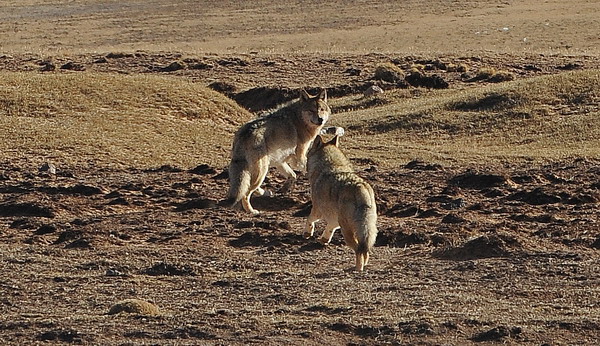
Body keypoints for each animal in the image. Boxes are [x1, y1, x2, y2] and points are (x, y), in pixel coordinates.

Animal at [304, 134, 376, 272]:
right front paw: (324, 239)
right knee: (366, 250)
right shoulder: (334, 218)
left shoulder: (317, 209)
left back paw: (358, 268)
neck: (331, 164)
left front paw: (307, 233)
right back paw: (364, 265)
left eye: (308, 152)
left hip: (347, 230)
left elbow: (309, 219)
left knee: (358, 249)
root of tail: (361, 188)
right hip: (366, 229)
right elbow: (330, 228)